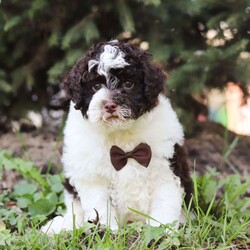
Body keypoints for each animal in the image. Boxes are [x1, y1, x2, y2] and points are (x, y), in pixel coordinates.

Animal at [42, 40, 192, 233]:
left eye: (128, 84)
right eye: (96, 86)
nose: (109, 105)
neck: (120, 134)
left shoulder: (166, 169)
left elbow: (164, 204)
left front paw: (160, 230)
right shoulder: (92, 177)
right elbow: (99, 208)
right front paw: (107, 231)